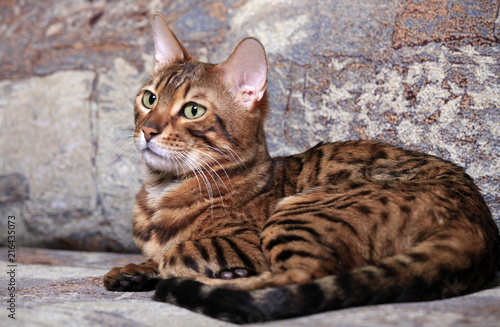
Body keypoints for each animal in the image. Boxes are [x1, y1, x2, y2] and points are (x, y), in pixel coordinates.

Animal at [102, 13, 500, 326]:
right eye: (149, 98)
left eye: (192, 110)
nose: (148, 129)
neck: (160, 190)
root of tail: (479, 223)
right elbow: (153, 257)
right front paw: (131, 271)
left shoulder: (246, 240)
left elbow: (175, 253)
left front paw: (163, 269)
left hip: (300, 210)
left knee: (299, 278)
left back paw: (218, 279)